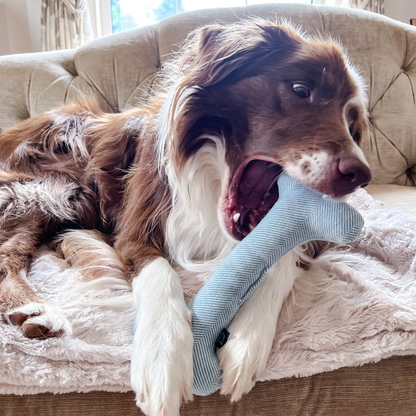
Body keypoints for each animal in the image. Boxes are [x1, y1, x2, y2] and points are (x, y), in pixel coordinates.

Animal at [0, 18, 370, 416]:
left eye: (353, 126)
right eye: (301, 89)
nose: (361, 175)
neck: (212, 178)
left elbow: (281, 256)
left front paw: (247, 340)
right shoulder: (135, 229)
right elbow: (160, 272)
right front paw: (163, 356)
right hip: (51, 189)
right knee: (8, 253)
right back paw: (35, 308)